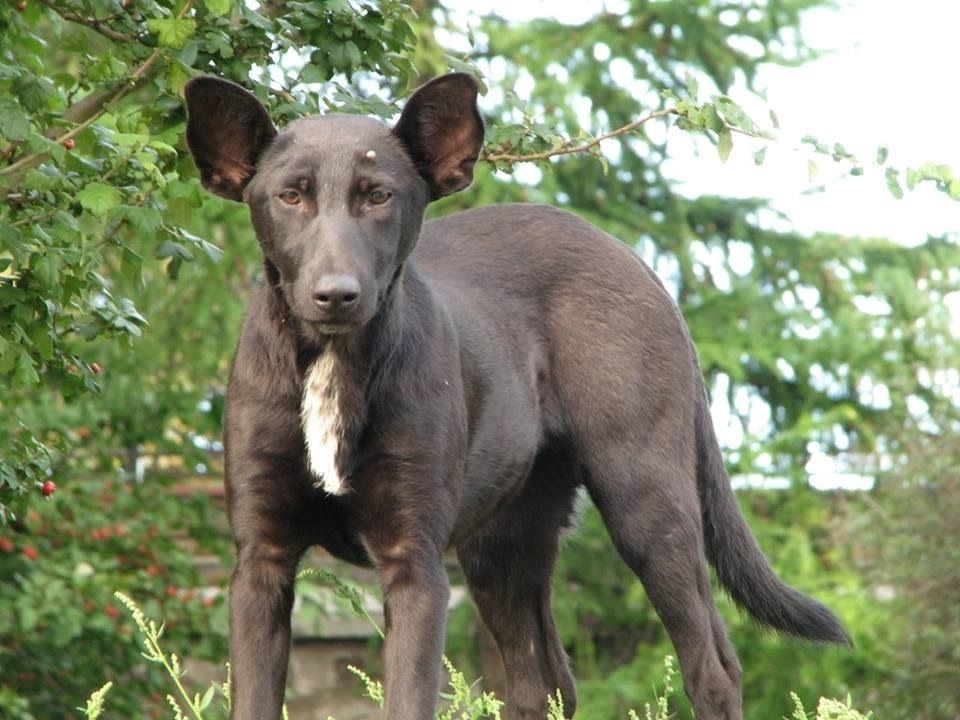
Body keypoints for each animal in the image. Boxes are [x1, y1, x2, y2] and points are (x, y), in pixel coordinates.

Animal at [186, 73, 848, 720]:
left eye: (378, 196)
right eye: (290, 196)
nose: (336, 295)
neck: (333, 362)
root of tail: (637, 263)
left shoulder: (415, 565)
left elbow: (407, 699)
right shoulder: (261, 563)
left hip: (648, 503)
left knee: (711, 669)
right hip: (502, 543)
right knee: (544, 683)